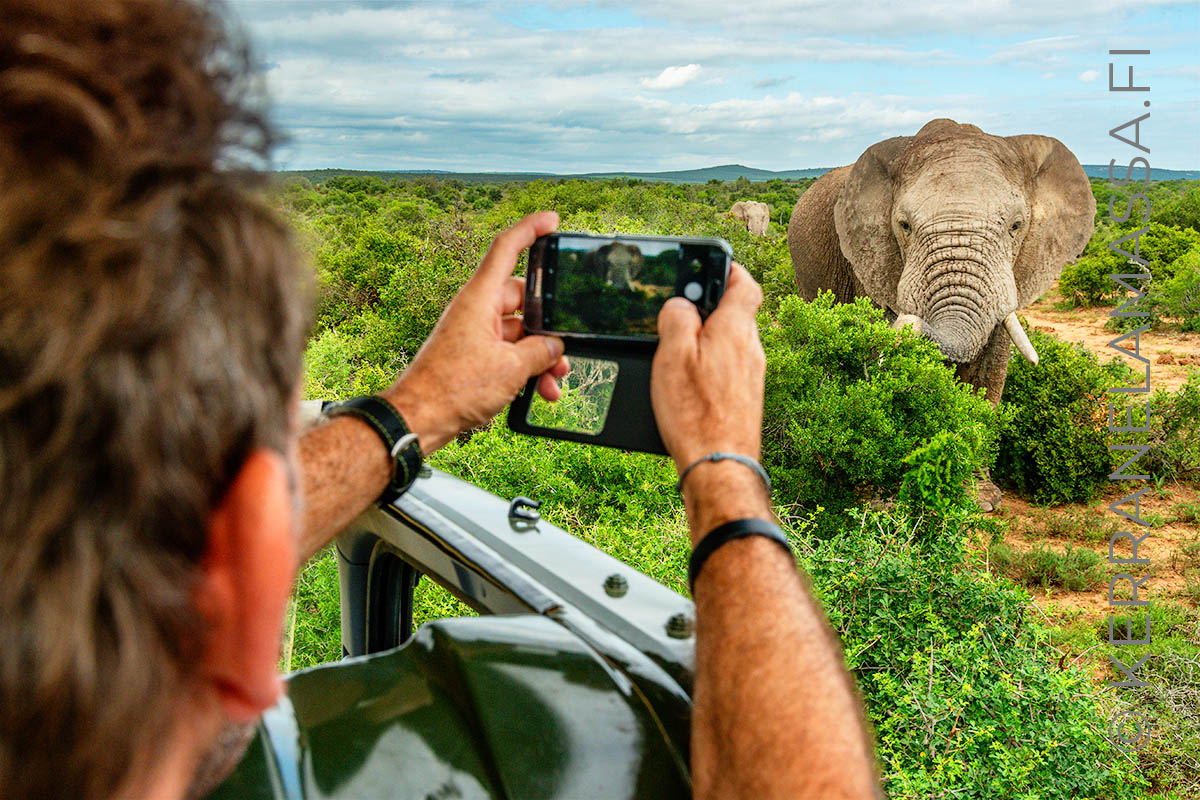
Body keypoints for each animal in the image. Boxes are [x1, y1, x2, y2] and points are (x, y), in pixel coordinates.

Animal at [787, 118, 1094, 509]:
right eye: (903, 225)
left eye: (1016, 226)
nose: (914, 324)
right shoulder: (868, 262)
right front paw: (886, 501)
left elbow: (988, 371)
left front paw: (979, 500)